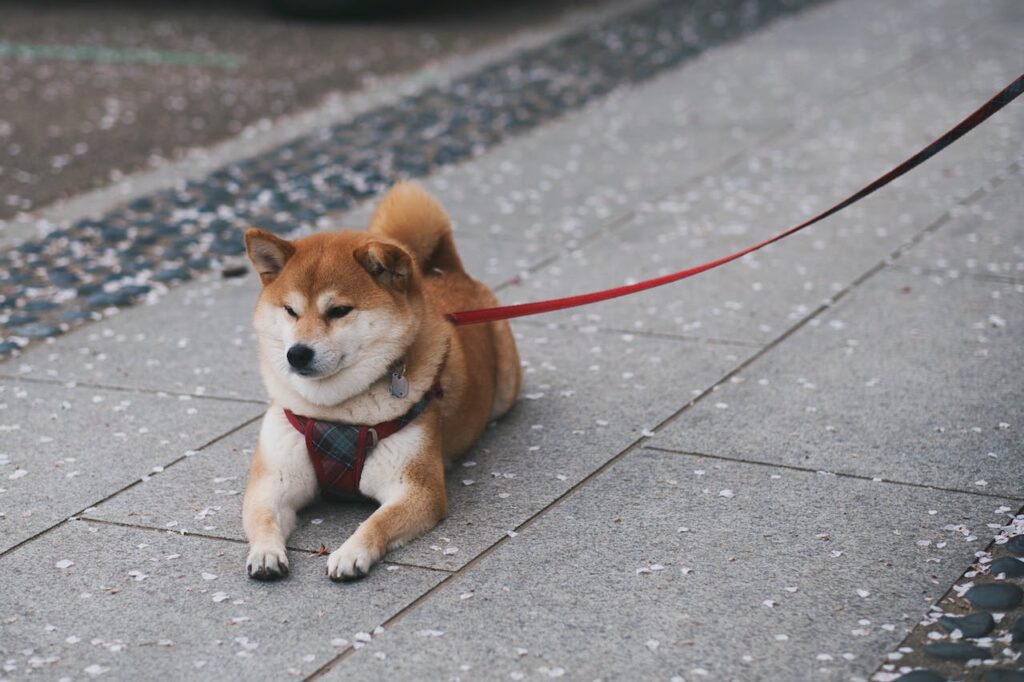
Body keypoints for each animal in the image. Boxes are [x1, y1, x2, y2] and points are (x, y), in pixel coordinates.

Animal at [239, 180, 520, 577]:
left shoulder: (417, 488)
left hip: (506, 386)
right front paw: (265, 552)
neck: (335, 413)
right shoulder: (273, 481)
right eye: (290, 310)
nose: (297, 353)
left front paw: (351, 552)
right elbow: (263, 517)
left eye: (339, 311)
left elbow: (377, 521)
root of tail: (446, 271)